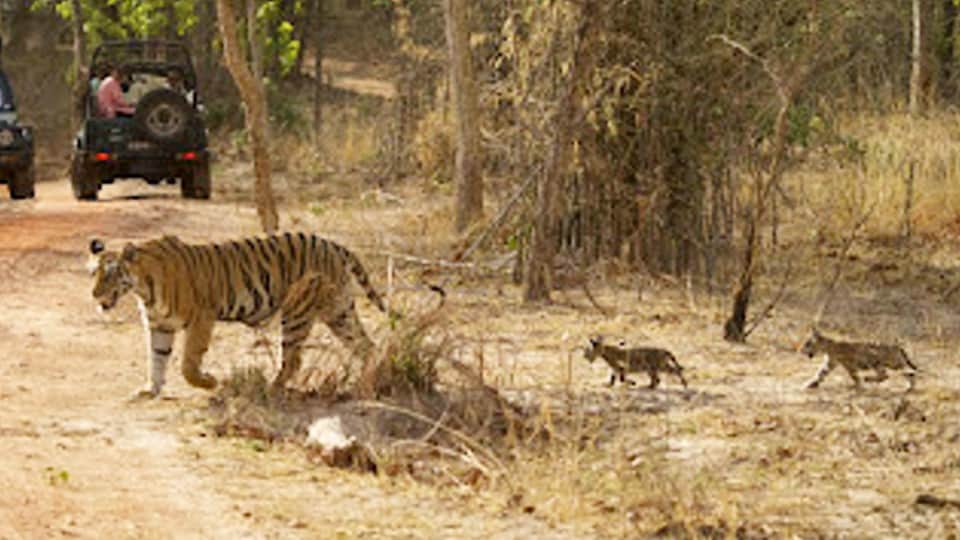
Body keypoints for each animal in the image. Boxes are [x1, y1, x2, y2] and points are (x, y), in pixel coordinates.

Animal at [88, 232, 387, 399]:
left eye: (111, 274)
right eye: (94, 273)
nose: (94, 294)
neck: (143, 288)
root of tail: (334, 245)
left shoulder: (201, 318)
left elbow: (188, 365)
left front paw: (210, 382)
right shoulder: (159, 325)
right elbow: (156, 359)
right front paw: (151, 389)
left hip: (297, 312)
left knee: (294, 360)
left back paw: (270, 389)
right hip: (339, 312)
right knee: (367, 345)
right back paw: (364, 385)